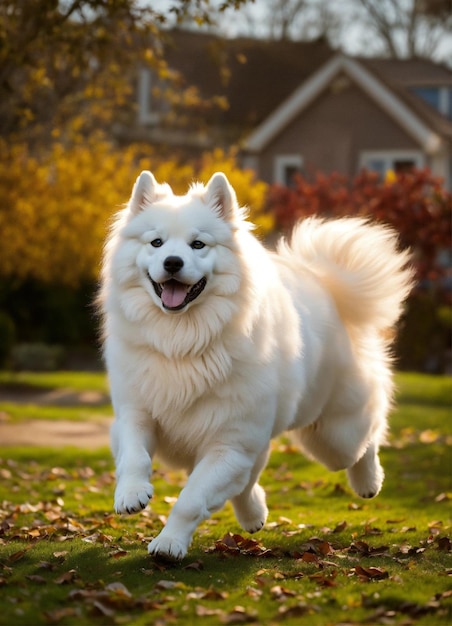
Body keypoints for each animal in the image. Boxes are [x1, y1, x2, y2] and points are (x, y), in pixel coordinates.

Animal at [98, 169, 414, 556]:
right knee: (246, 485)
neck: (182, 342)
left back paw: (369, 481)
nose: (172, 262)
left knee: (365, 438)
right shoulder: (137, 412)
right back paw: (254, 516)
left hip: (332, 434)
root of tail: (326, 286)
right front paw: (131, 494)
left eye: (198, 245)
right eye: (156, 243)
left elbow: (191, 500)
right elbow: (135, 455)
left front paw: (169, 544)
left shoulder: (229, 444)